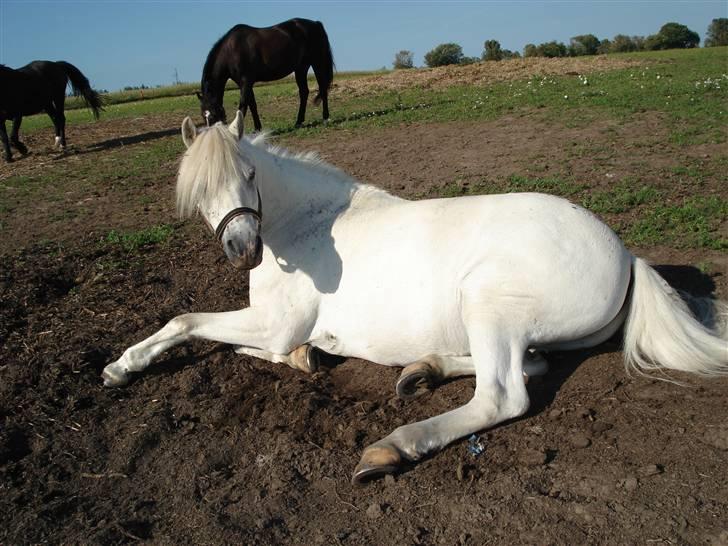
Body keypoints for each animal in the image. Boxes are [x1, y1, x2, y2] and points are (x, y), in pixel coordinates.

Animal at [101, 113, 728, 480]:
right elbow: (251, 344)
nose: (242, 247)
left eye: (251, 174)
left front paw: (121, 367)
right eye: (202, 190)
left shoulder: (272, 323)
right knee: (531, 365)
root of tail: (625, 255)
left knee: (503, 395)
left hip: (487, 304)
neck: (305, 225)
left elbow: (189, 322)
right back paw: (421, 371)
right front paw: (312, 355)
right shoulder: (269, 324)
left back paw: (392, 447)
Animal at [199, 17, 336, 130]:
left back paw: (325, 118)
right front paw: (258, 129)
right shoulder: (245, 83)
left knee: (323, 88)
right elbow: (252, 105)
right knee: (304, 92)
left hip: (317, 63)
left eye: (213, 116)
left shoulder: (245, 81)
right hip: (301, 68)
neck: (232, 51)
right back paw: (298, 122)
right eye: (203, 117)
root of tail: (316, 24)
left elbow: (243, 106)